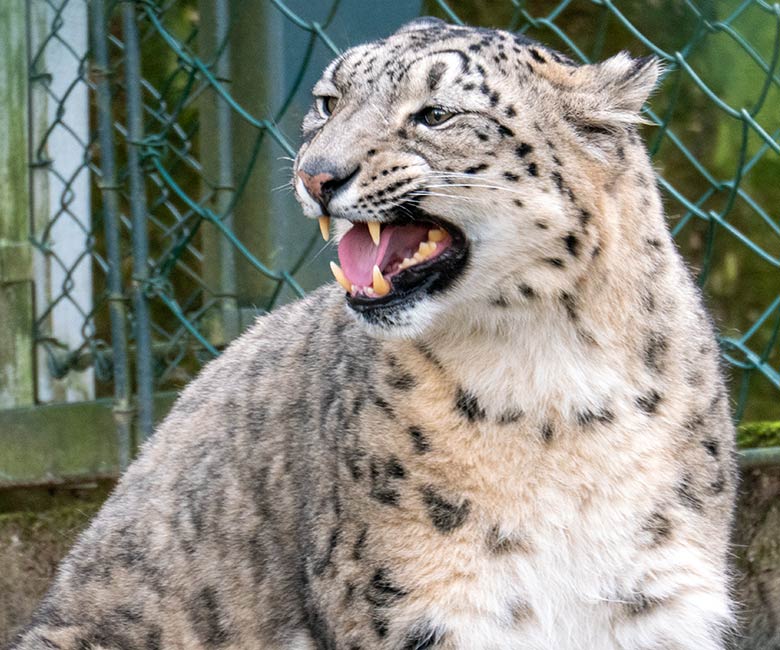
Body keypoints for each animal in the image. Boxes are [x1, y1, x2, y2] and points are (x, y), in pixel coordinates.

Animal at [7, 15, 736, 648]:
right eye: (328, 102)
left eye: (437, 114)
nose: (316, 173)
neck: (553, 380)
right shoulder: (422, 598)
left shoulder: (661, 594)